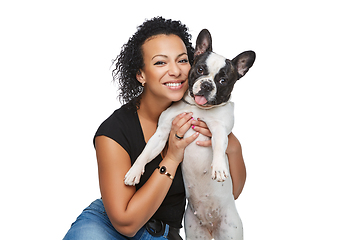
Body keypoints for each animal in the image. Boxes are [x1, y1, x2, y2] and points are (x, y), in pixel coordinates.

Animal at [125, 29, 255, 239]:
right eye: (200, 70)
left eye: (223, 81)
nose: (207, 85)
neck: (198, 108)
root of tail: (210, 226)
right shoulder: (162, 132)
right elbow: (146, 152)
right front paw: (134, 171)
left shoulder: (219, 129)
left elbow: (219, 147)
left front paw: (219, 167)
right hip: (194, 231)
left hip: (231, 230)